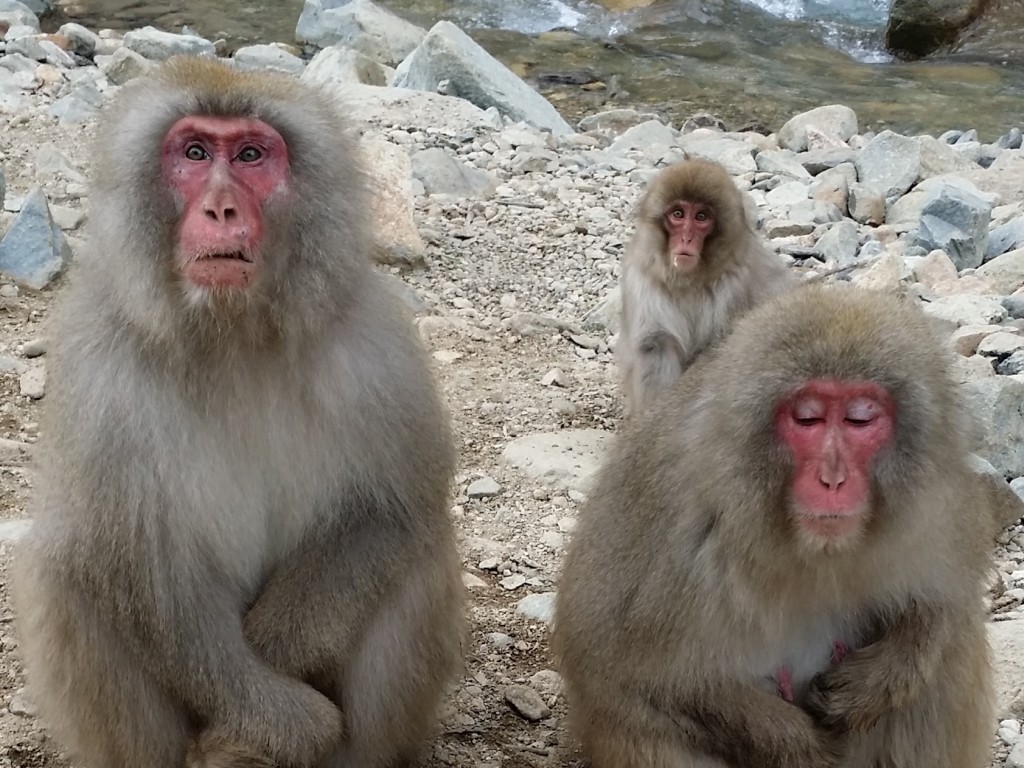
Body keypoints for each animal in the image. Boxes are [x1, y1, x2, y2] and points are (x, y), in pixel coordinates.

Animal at [12, 57, 464, 768]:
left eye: (251, 155)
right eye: (195, 153)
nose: (221, 208)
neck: (231, 336)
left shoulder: (373, 347)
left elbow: (388, 512)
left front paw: (273, 670)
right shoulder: (102, 369)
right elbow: (139, 567)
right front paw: (286, 719)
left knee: (421, 554)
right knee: (63, 570)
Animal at [554, 284, 995, 768]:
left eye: (860, 418)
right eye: (807, 418)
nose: (833, 479)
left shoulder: (936, 506)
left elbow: (943, 610)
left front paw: (877, 680)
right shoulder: (673, 527)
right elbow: (637, 673)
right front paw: (793, 743)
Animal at [618, 158, 795, 416]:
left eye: (701, 217)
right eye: (678, 214)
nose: (686, 239)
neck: (691, 279)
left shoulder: (742, 275)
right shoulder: (642, 277)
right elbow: (656, 346)